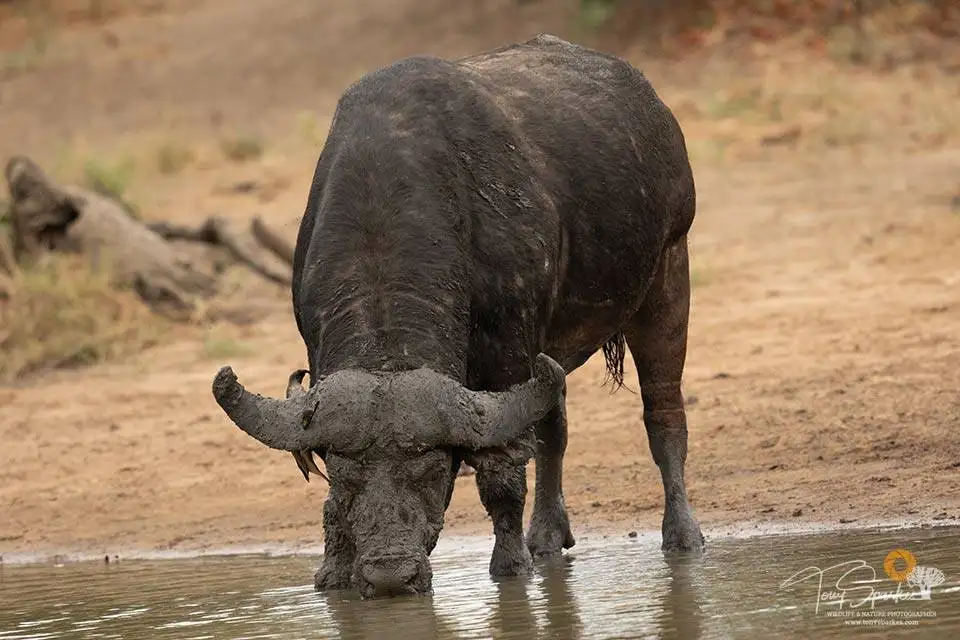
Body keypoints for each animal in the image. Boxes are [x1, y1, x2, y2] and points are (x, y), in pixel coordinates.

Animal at [212, 34, 704, 599]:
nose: (390, 575)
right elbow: (333, 508)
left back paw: (681, 534)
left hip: (669, 271)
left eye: (429, 471)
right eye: (345, 473)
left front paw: (509, 566)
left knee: (663, 415)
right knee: (553, 431)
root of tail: (651, 105)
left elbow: (502, 474)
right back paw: (547, 535)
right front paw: (334, 574)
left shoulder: (509, 355)